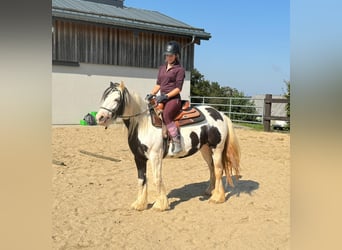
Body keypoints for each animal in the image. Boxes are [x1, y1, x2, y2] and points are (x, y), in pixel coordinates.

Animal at [96, 82, 240, 211]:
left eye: (116, 99)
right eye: (105, 98)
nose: (100, 117)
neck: (143, 124)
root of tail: (220, 114)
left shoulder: (155, 157)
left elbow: (156, 179)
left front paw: (160, 205)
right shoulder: (139, 158)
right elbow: (141, 179)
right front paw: (140, 204)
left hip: (217, 148)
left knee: (218, 169)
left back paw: (217, 198)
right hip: (205, 149)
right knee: (211, 168)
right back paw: (210, 191)